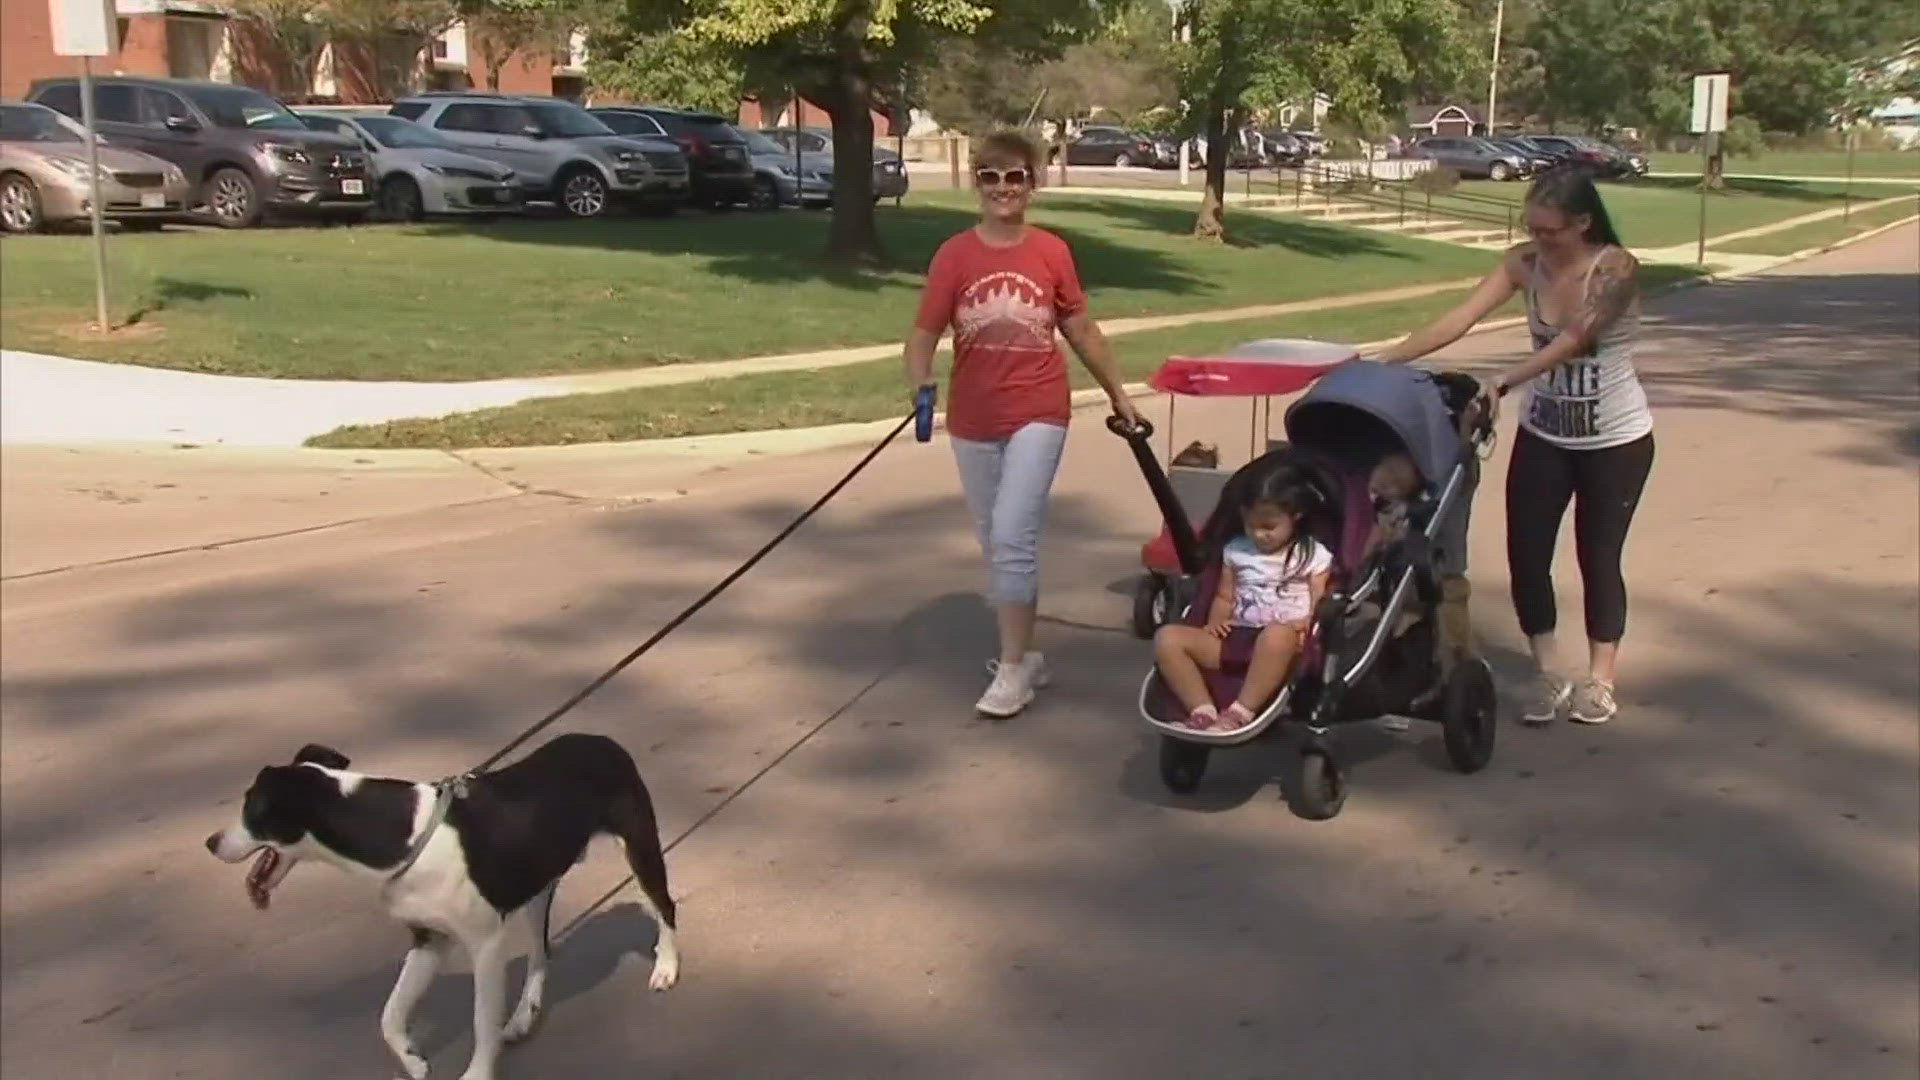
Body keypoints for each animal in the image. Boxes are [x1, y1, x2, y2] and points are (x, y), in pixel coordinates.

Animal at [202, 730, 679, 1076]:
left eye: (252, 808)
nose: (210, 842)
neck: (396, 833)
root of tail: (603, 741)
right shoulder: (430, 939)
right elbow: (390, 1014)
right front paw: (412, 1059)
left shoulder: (484, 946)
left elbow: (481, 1023)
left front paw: (476, 1074)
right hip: (536, 885)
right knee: (541, 952)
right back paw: (523, 1017)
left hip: (639, 848)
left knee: (665, 908)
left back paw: (666, 968)